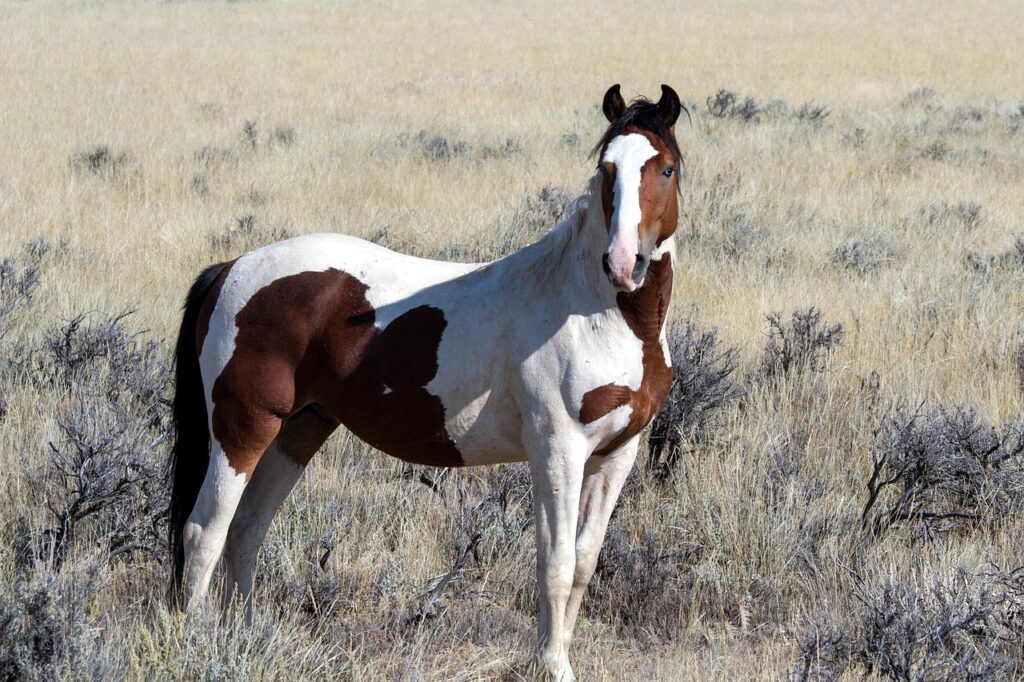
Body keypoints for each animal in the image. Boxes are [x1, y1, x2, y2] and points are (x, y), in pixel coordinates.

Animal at [169, 83, 684, 680]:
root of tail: (231, 269)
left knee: (246, 531)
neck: (595, 310)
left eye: (666, 168)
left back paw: (246, 641)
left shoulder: (616, 454)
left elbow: (582, 563)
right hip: (242, 431)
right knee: (204, 533)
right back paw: (197, 648)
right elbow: (554, 564)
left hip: (298, 431)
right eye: (607, 169)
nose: (624, 264)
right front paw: (553, 665)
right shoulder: (558, 450)